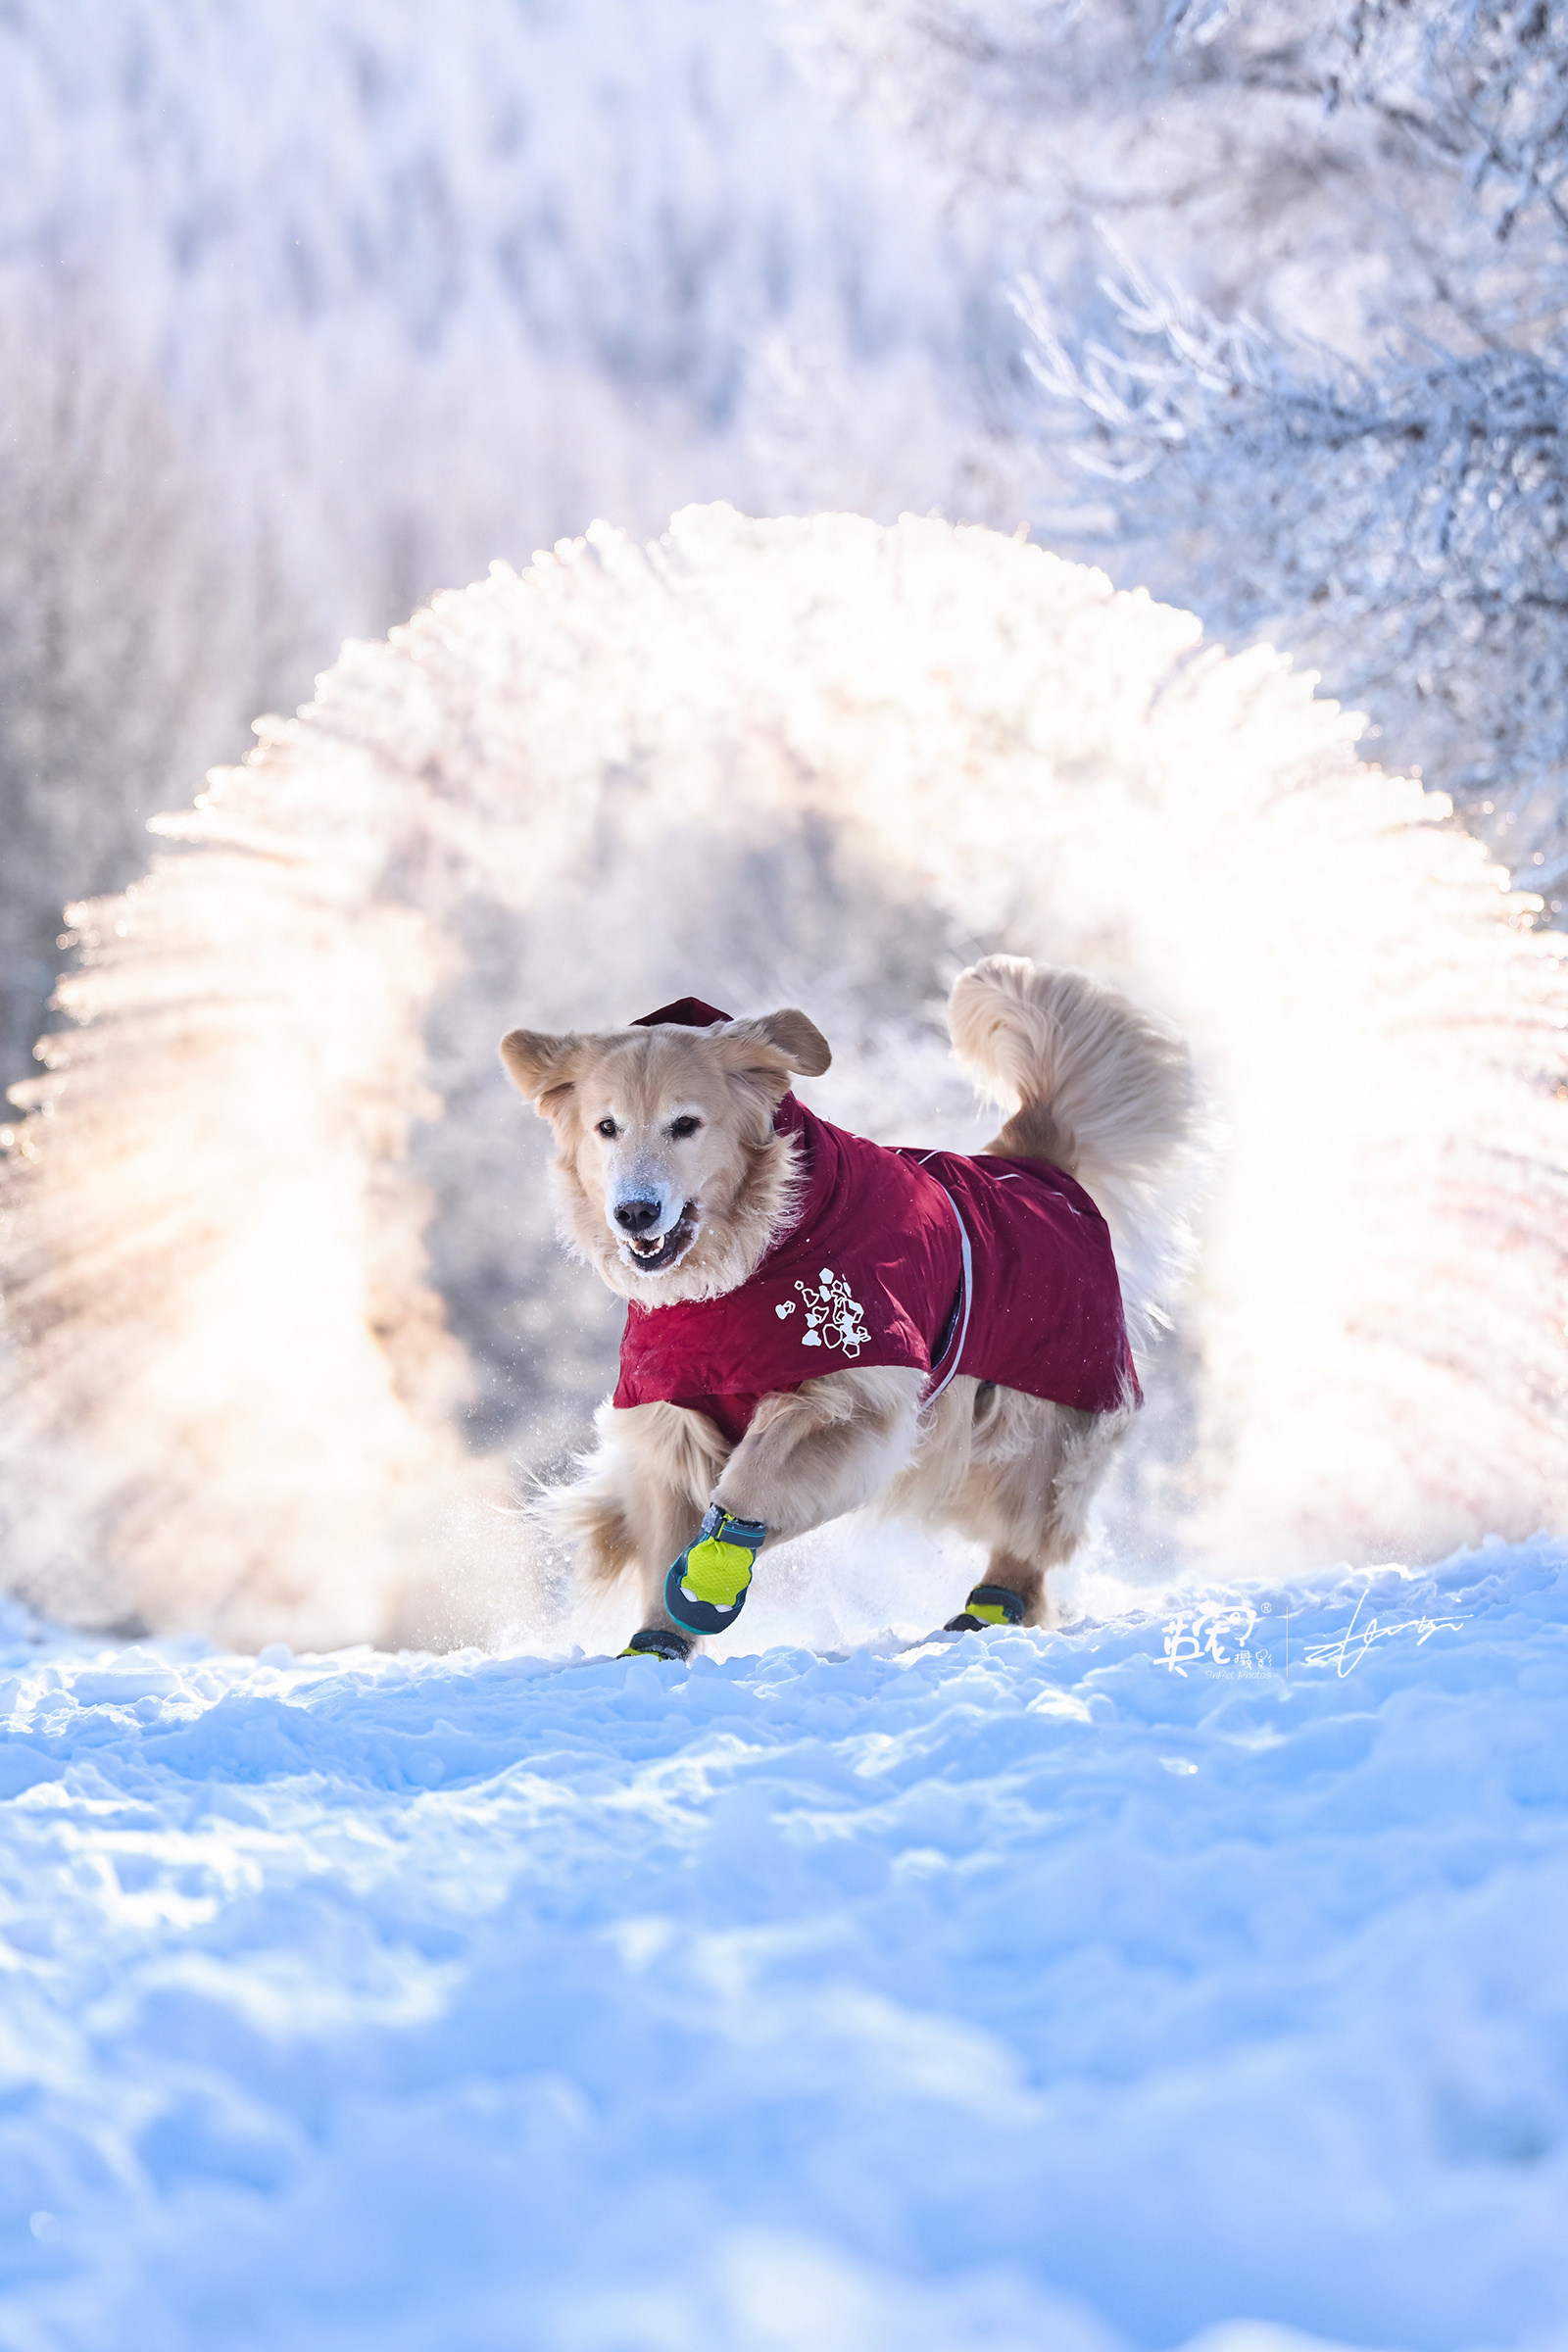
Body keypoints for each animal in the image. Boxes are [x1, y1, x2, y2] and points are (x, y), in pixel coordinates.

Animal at [496, 955, 1194, 1655]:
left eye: (686, 1124)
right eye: (606, 1128)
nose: (635, 1211)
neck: (743, 1265)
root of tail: (1034, 1162)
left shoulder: (851, 1395)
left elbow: (751, 1479)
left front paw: (711, 1575)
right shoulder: (671, 1412)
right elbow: (667, 1523)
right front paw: (656, 1641)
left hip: (1043, 1405)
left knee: (1028, 1527)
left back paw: (991, 1610)